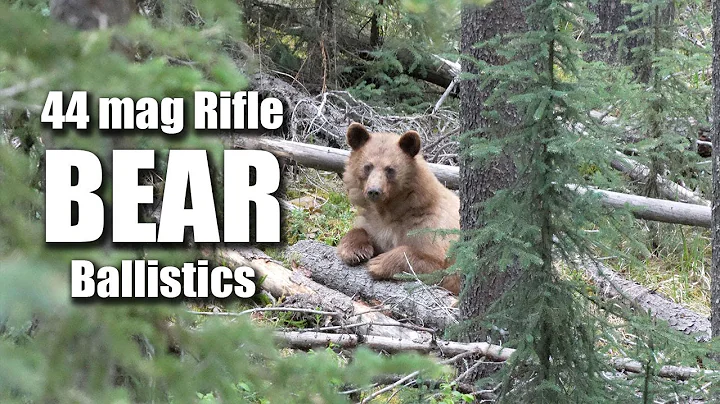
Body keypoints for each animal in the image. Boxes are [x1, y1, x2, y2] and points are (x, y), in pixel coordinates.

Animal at [336, 123, 461, 294]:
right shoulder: (374, 222)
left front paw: (379, 263)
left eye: (390, 169)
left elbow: (434, 263)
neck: (389, 209)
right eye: (367, 166)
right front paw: (355, 251)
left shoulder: (429, 227)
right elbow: (360, 230)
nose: (374, 191)